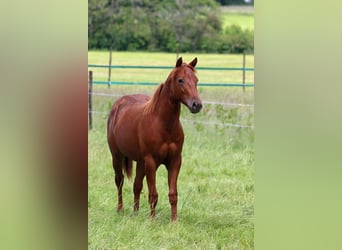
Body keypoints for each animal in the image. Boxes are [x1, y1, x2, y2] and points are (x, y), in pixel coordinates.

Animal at [107, 57, 202, 221]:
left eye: (196, 80)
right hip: (117, 157)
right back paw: (120, 209)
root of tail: (118, 105)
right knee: (119, 181)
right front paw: (152, 221)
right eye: (180, 80)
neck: (164, 125)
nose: (197, 105)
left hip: (140, 162)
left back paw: (136, 213)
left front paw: (174, 221)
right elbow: (153, 194)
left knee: (137, 186)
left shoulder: (175, 161)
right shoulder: (151, 162)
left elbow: (173, 194)